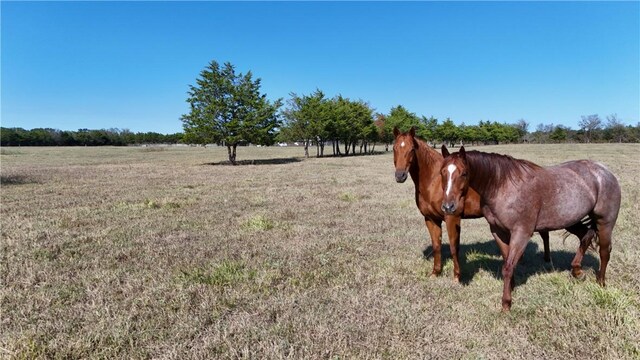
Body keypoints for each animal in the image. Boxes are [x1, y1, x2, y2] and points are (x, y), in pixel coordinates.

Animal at [392, 128, 552, 282]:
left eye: (412, 149)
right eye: (394, 148)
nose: (400, 176)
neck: (434, 182)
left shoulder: (452, 217)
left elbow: (453, 247)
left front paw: (456, 277)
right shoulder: (431, 219)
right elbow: (436, 246)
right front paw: (435, 273)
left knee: (544, 234)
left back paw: (547, 261)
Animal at [440, 145, 620, 310]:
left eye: (464, 173)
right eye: (442, 172)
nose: (448, 207)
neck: (503, 186)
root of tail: (604, 171)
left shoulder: (521, 233)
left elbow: (508, 266)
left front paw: (506, 303)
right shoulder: (498, 231)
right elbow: (507, 261)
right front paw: (511, 288)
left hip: (604, 223)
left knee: (604, 252)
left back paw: (601, 282)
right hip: (571, 220)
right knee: (585, 236)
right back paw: (577, 271)